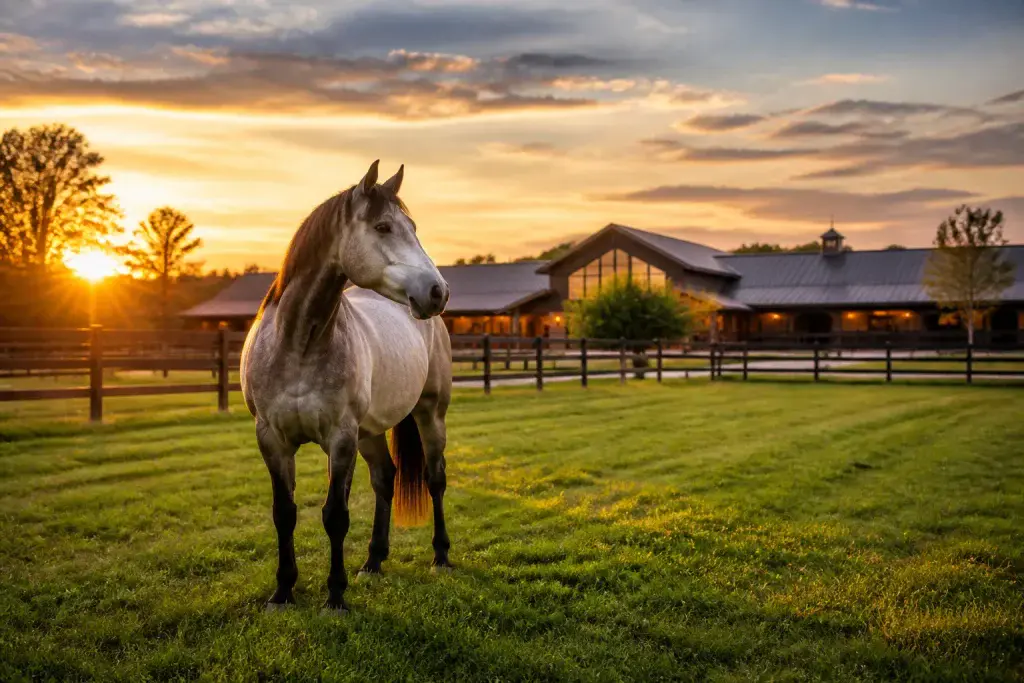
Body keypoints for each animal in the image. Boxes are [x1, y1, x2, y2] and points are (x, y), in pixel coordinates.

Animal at [240, 160, 453, 613]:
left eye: (412, 226)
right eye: (383, 227)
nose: (437, 292)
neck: (298, 344)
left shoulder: (340, 438)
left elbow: (335, 515)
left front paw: (335, 595)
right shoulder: (271, 439)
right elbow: (284, 513)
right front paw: (283, 592)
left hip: (430, 414)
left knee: (435, 478)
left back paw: (441, 556)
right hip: (369, 432)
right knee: (385, 479)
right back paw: (373, 561)